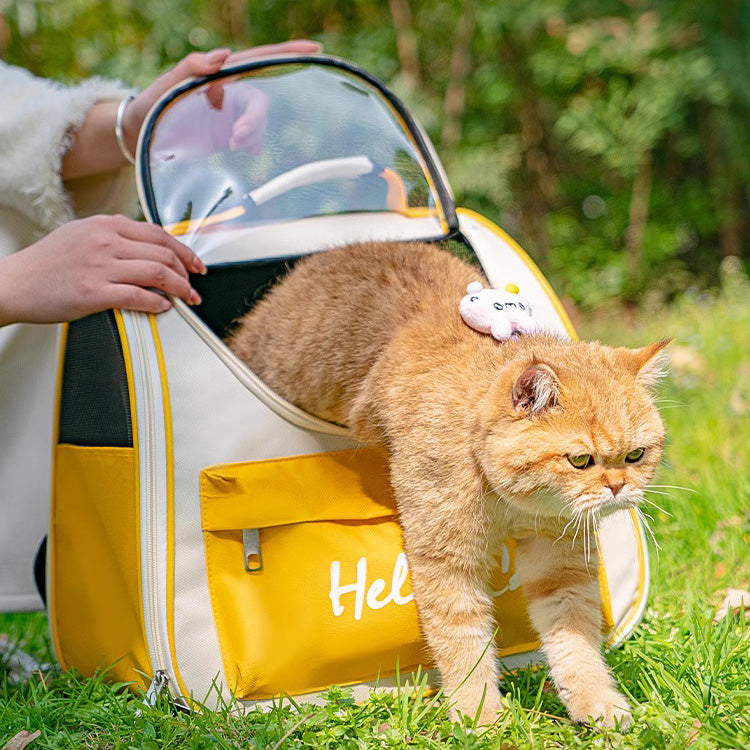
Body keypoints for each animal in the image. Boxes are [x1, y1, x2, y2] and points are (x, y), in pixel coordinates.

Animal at [226, 241, 668, 728]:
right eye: (581, 460)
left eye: (635, 456)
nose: (618, 488)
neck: (508, 500)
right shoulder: (447, 562)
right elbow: (464, 641)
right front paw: (479, 714)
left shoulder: (559, 564)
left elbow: (575, 640)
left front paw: (595, 700)